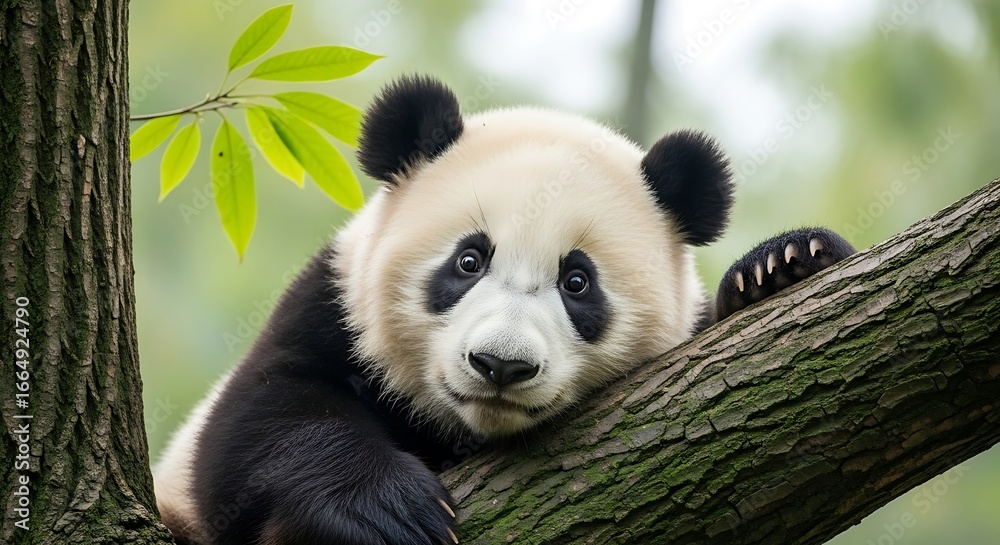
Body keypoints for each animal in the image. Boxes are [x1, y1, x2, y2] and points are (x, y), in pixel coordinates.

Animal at [152, 75, 855, 545]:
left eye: (577, 282)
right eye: (469, 261)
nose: (499, 366)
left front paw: (783, 265)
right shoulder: (332, 305)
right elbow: (255, 423)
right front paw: (389, 508)